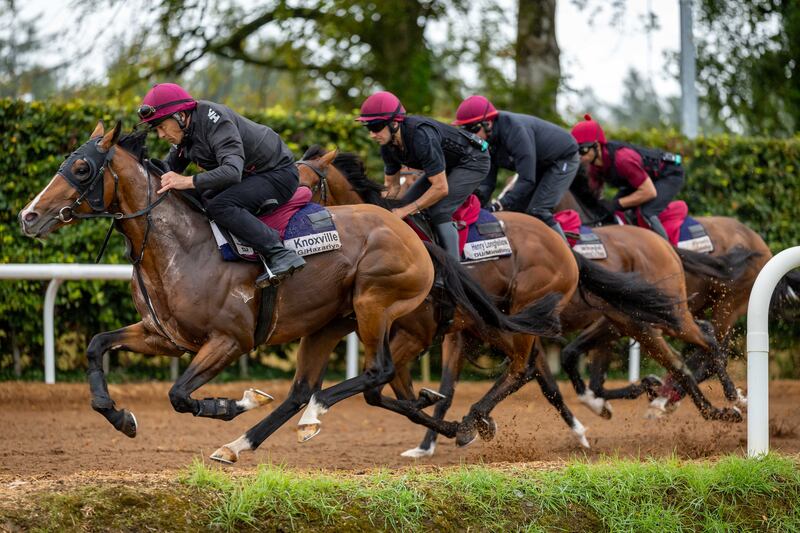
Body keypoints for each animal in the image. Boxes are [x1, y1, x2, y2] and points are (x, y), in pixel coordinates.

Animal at [18, 122, 559, 464]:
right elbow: (96, 346)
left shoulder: (229, 340)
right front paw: (121, 417)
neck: (180, 246)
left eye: (82, 169)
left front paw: (233, 403)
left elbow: (179, 395)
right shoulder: (163, 336)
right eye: (67, 162)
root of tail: (409, 232)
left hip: (376, 305)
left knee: (378, 374)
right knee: (317, 388)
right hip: (329, 323)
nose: (28, 215)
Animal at [296, 147, 741, 458]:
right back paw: (695, 405)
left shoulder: (430, 331)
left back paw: (730, 400)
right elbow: (433, 388)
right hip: (622, 318)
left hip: (610, 312)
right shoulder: (454, 331)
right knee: (677, 358)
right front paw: (429, 440)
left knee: (697, 341)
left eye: (305, 186)